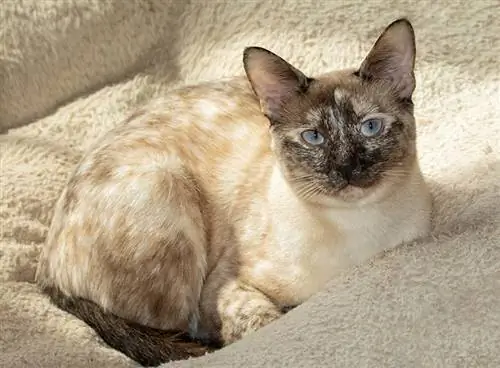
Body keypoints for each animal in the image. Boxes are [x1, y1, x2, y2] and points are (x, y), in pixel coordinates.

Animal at [37, 18, 432, 366]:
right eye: (313, 137)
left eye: (370, 128)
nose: (346, 168)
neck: (356, 235)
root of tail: (45, 272)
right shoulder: (223, 290)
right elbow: (262, 327)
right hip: (166, 184)